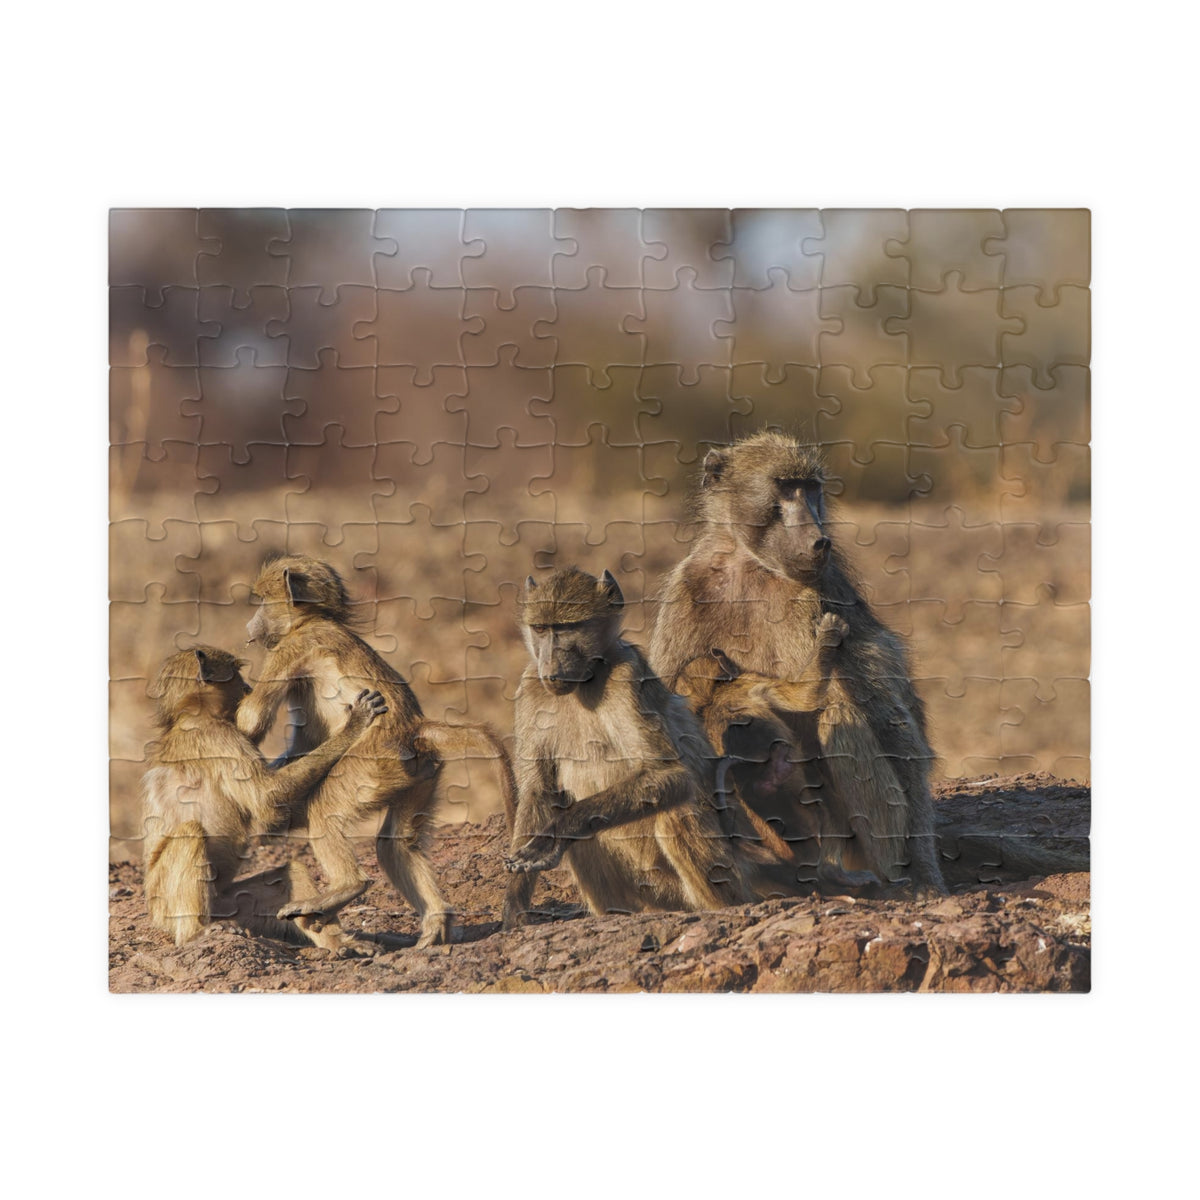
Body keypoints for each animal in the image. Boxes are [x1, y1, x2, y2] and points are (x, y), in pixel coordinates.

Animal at [140, 646, 388, 954]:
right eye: (236, 674)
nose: (248, 688)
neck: (188, 716)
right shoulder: (221, 737)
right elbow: (268, 802)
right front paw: (354, 725)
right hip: (164, 906)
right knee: (190, 833)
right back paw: (194, 934)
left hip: (227, 904)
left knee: (291, 872)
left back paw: (337, 940)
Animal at [236, 555, 518, 948]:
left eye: (262, 600)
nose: (250, 625)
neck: (315, 619)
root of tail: (415, 728)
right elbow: (303, 743)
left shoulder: (291, 647)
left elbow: (251, 720)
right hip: (419, 774)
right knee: (394, 844)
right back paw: (436, 925)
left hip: (373, 764)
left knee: (325, 809)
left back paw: (346, 888)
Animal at [502, 566, 789, 929]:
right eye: (540, 629)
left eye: (567, 628)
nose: (551, 668)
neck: (586, 682)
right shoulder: (530, 688)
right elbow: (539, 793)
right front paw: (513, 908)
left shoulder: (627, 676)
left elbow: (670, 774)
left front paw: (554, 834)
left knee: (676, 811)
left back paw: (721, 907)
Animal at [650, 431, 948, 894]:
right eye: (785, 487)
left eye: (811, 489)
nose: (818, 540)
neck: (749, 566)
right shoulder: (685, 591)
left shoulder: (819, 597)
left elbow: (887, 722)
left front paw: (926, 872)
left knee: (840, 712)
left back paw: (888, 879)